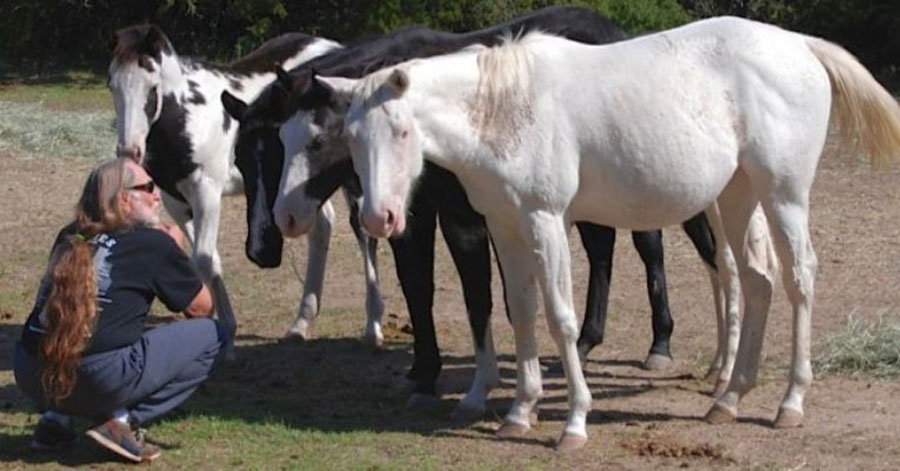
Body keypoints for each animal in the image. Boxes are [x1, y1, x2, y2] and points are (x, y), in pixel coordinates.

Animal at [106, 24, 394, 346]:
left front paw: (228, 332)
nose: (129, 151)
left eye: (152, 86)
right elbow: (205, 261)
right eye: (111, 85)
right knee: (322, 226)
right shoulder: (175, 202)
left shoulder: (206, 193)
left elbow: (204, 259)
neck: (185, 117)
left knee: (363, 231)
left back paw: (372, 326)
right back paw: (300, 323)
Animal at [221, 5, 736, 414]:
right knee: (604, 251)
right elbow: (419, 288)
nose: (271, 235)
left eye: (316, 141)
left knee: (652, 248)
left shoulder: (463, 219)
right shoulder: (414, 218)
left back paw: (660, 344)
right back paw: (590, 341)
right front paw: (423, 373)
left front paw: (480, 385)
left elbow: (479, 295)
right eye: (243, 156)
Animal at [316, 16, 900, 452]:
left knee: (800, 279)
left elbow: (561, 317)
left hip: (783, 195)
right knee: (757, 282)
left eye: (402, 131)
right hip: (737, 196)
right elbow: (520, 310)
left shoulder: (545, 220)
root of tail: (799, 45)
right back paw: (728, 398)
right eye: (351, 135)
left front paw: (573, 422)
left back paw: (790, 403)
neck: (504, 108)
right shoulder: (505, 225)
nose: (379, 218)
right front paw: (520, 411)